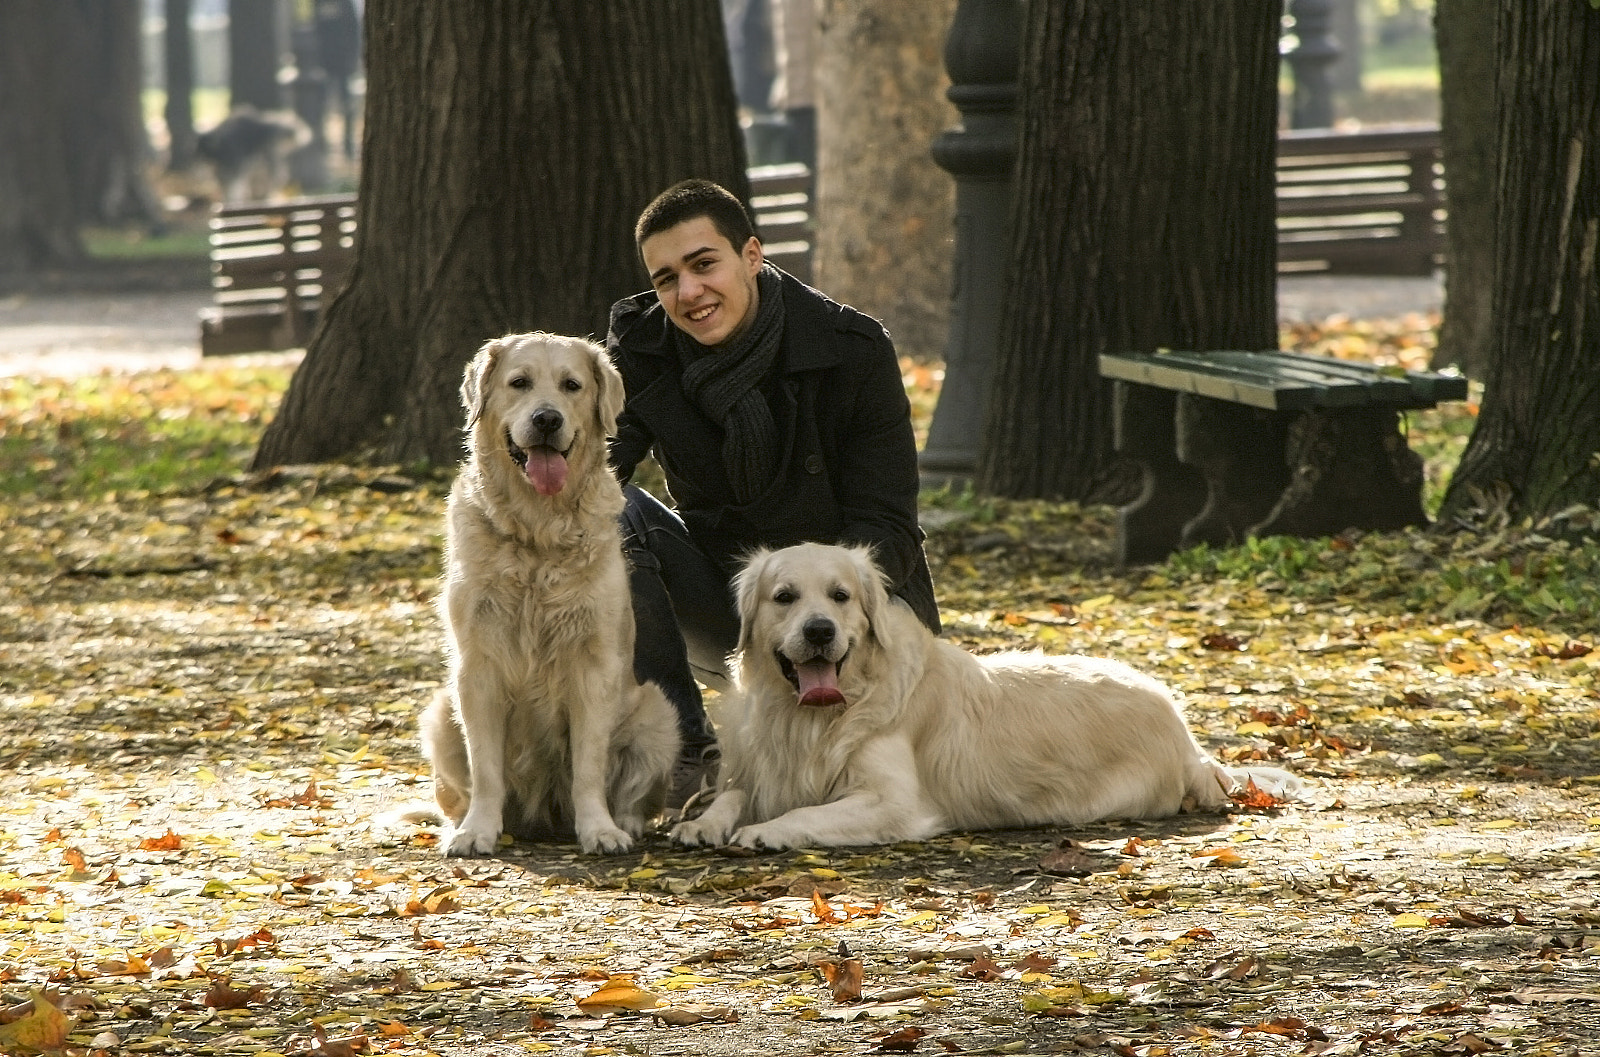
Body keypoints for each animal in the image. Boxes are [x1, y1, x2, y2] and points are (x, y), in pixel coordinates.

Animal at [422, 334, 678, 850]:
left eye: (571, 385)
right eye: (519, 382)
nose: (547, 419)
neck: (537, 532)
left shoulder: (594, 665)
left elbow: (588, 766)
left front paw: (599, 830)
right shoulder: (477, 665)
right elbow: (485, 768)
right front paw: (477, 831)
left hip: (657, 715)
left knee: (634, 793)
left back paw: (626, 824)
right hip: (439, 712)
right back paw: (464, 824)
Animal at [675, 543, 1299, 850]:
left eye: (840, 595)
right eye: (784, 597)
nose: (820, 631)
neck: (820, 716)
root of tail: (1188, 740)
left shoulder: (893, 801)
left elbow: (805, 810)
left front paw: (764, 832)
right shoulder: (761, 767)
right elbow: (731, 793)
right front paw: (704, 822)